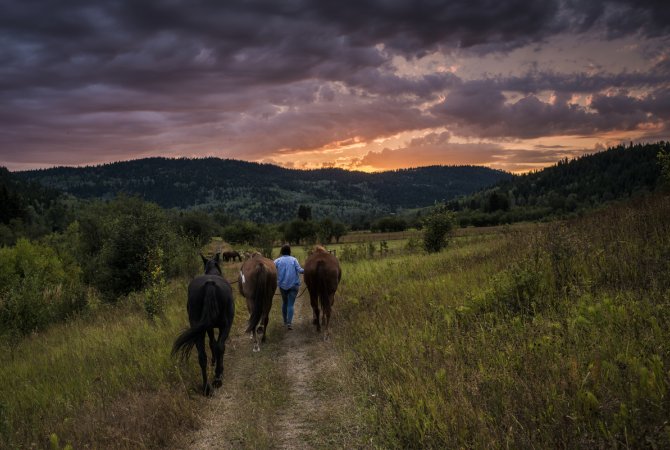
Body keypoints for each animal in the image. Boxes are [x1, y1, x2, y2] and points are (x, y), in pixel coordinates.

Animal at [172, 253, 235, 398]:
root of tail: (210, 284)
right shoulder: (217, 327)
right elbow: (215, 344)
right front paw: (216, 364)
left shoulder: (208, 326)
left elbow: (211, 343)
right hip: (226, 325)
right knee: (220, 346)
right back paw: (217, 377)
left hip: (198, 329)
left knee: (202, 356)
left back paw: (206, 387)